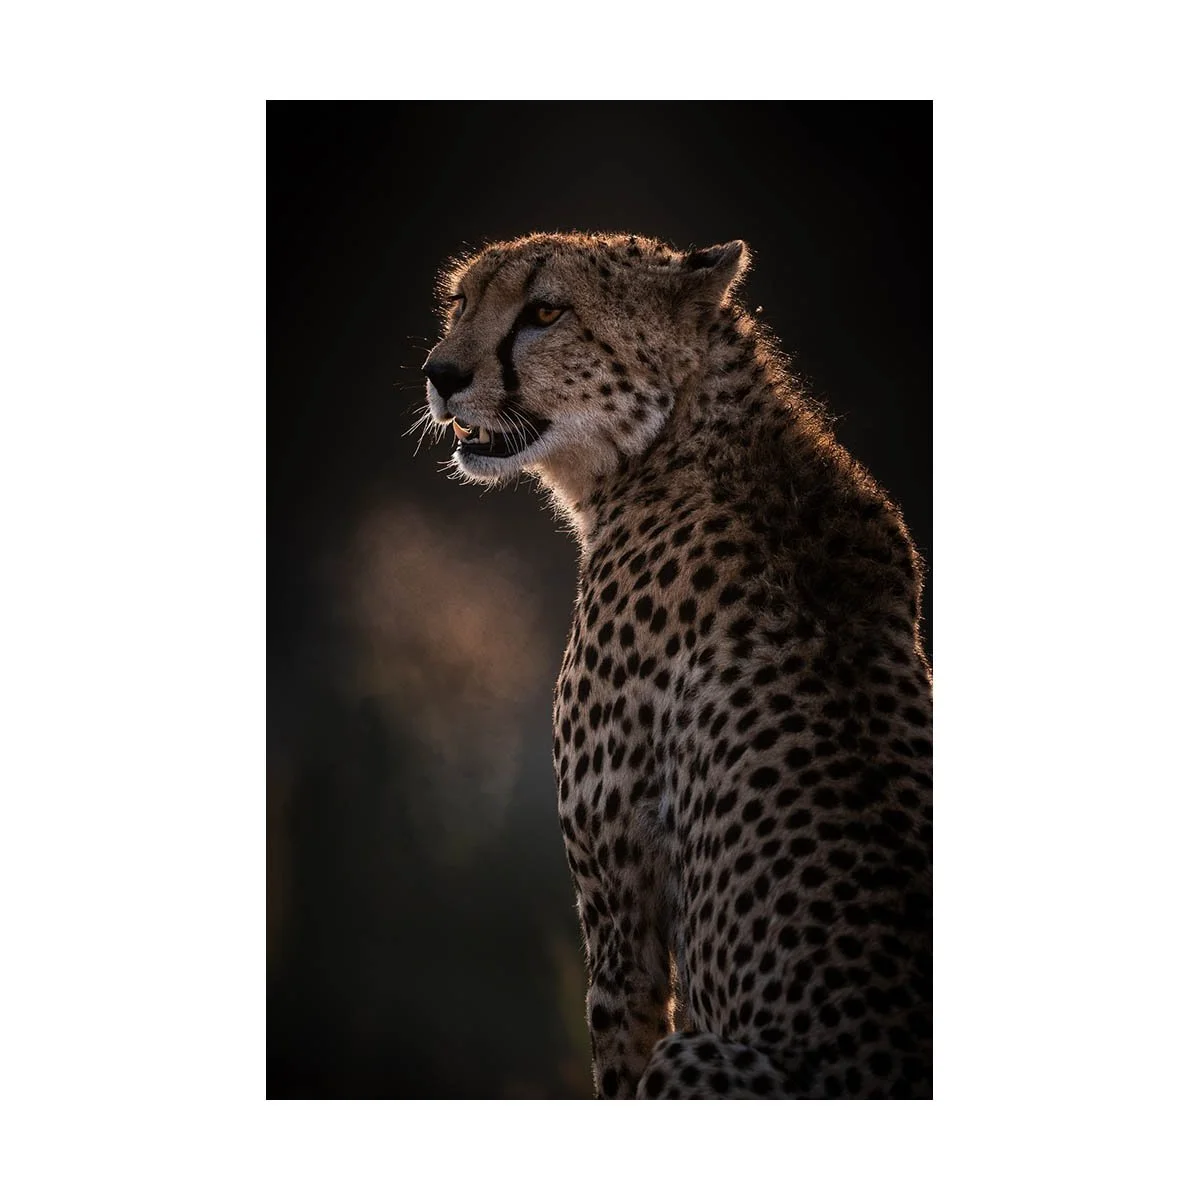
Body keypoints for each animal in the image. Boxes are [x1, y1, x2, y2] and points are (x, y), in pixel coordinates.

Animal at [418, 231, 932, 1099]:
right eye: (461, 302)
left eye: (545, 312)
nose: (440, 374)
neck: (679, 441)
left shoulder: (619, 907)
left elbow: (618, 1045)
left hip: (694, 1056)